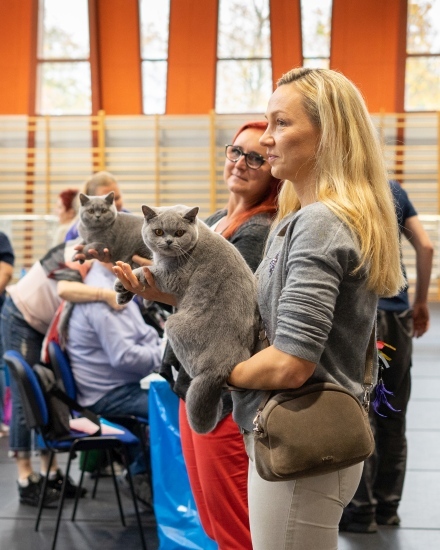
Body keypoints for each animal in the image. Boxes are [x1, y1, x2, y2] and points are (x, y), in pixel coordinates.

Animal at [113, 204, 260, 436]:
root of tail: (220, 369)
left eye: (180, 232)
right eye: (158, 232)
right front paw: (124, 294)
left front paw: (124, 282)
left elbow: (146, 271)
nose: (168, 241)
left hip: (173, 325)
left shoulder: (171, 277)